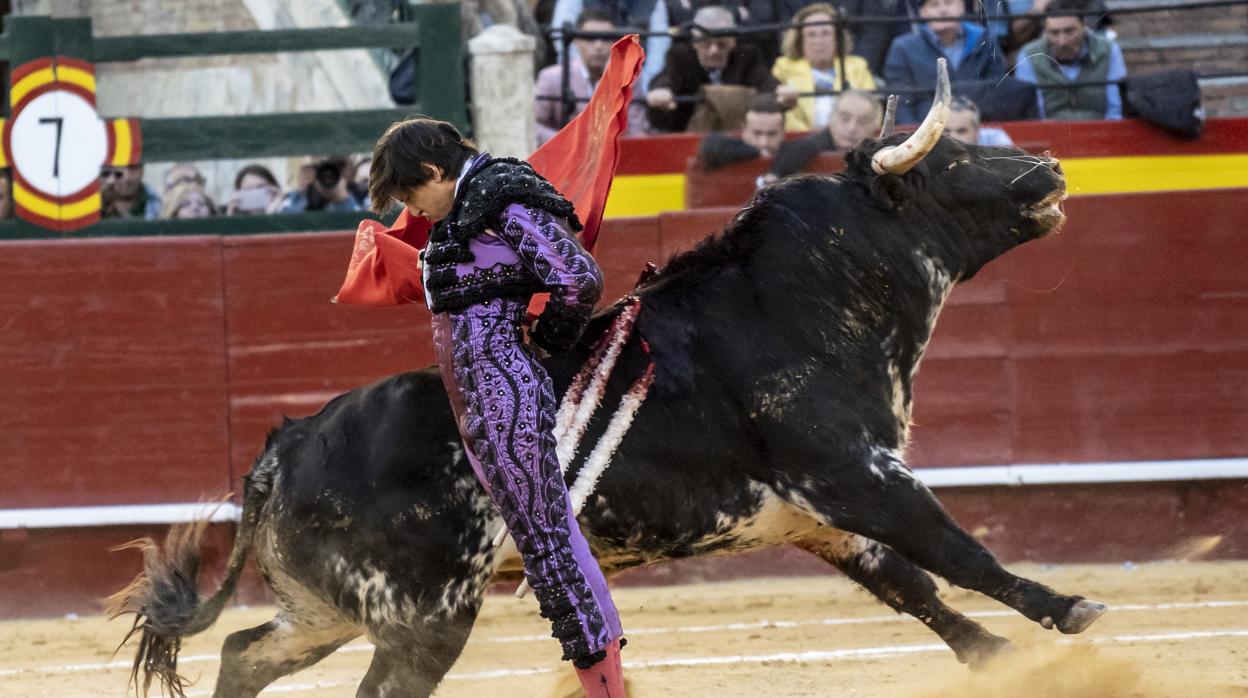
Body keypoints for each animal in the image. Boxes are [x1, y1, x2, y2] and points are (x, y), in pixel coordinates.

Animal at [109, 133, 1103, 694]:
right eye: (952, 160)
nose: (1049, 168)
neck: (798, 298)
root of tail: (282, 446)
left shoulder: (814, 513)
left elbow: (916, 586)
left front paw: (1004, 657)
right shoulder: (855, 474)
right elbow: (957, 550)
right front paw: (1070, 611)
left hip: (328, 608)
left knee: (243, 654)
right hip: (426, 616)